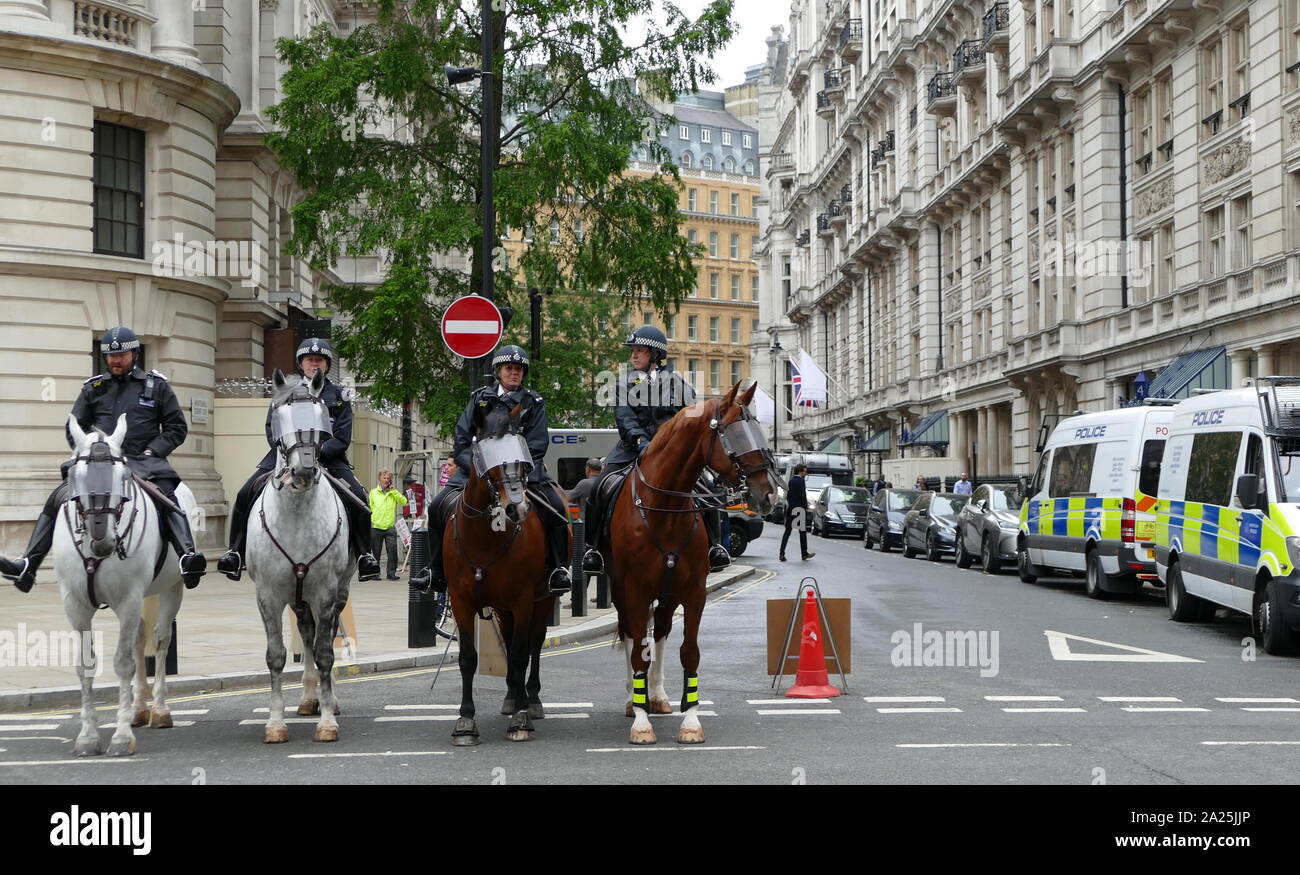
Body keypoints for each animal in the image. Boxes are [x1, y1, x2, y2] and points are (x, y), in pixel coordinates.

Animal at [56, 413, 195, 754]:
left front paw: (120, 737)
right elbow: (86, 665)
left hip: (170, 589)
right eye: (77, 475)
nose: (103, 540)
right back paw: (138, 709)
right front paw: (88, 736)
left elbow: (122, 664)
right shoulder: (75, 605)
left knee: (159, 640)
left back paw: (159, 709)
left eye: (123, 476)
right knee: (139, 641)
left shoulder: (128, 599)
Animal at [245, 369, 351, 743]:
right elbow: (276, 656)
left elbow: (325, 653)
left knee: (323, 635)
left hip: (333, 591)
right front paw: (275, 723)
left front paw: (328, 721)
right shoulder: (268, 594)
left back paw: (326, 700)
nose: (304, 470)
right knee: (306, 632)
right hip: (297, 594)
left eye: (323, 416)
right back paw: (308, 699)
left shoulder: (326, 591)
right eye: (277, 415)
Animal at [444, 397, 561, 743]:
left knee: (533, 644)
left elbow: (523, 653)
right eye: (488, 458)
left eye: (522, 461)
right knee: (509, 644)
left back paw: (530, 699)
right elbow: (469, 658)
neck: (485, 537)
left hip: (541, 599)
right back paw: (512, 696)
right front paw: (465, 721)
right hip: (500, 607)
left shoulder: (523, 599)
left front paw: (521, 719)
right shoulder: (461, 601)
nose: (517, 508)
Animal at [600, 379, 774, 738]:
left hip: (668, 593)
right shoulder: (635, 590)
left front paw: (691, 721)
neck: (665, 509)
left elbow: (689, 653)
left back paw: (657, 695)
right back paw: (632, 698)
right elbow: (638, 652)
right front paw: (641, 722)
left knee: (662, 630)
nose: (767, 494)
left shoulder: (694, 591)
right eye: (736, 433)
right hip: (621, 590)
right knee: (630, 633)